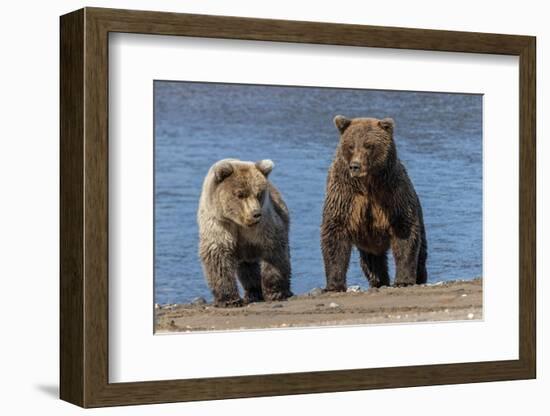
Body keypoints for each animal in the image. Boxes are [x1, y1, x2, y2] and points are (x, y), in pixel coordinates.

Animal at [198, 158, 294, 308]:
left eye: (259, 193)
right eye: (240, 194)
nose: (256, 214)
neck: (238, 222)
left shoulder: (263, 226)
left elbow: (274, 252)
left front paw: (275, 292)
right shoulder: (219, 224)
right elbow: (218, 256)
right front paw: (229, 299)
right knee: (248, 268)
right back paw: (253, 292)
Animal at [322, 114, 430, 290]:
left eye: (368, 145)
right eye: (351, 146)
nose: (355, 166)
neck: (368, 183)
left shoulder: (392, 193)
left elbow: (405, 231)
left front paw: (403, 280)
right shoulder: (345, 196)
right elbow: (334, 233)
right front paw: (334, 284)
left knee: (421, 253)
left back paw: (420, 277)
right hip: (368, 243)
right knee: (372, 262)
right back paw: (379, 281)